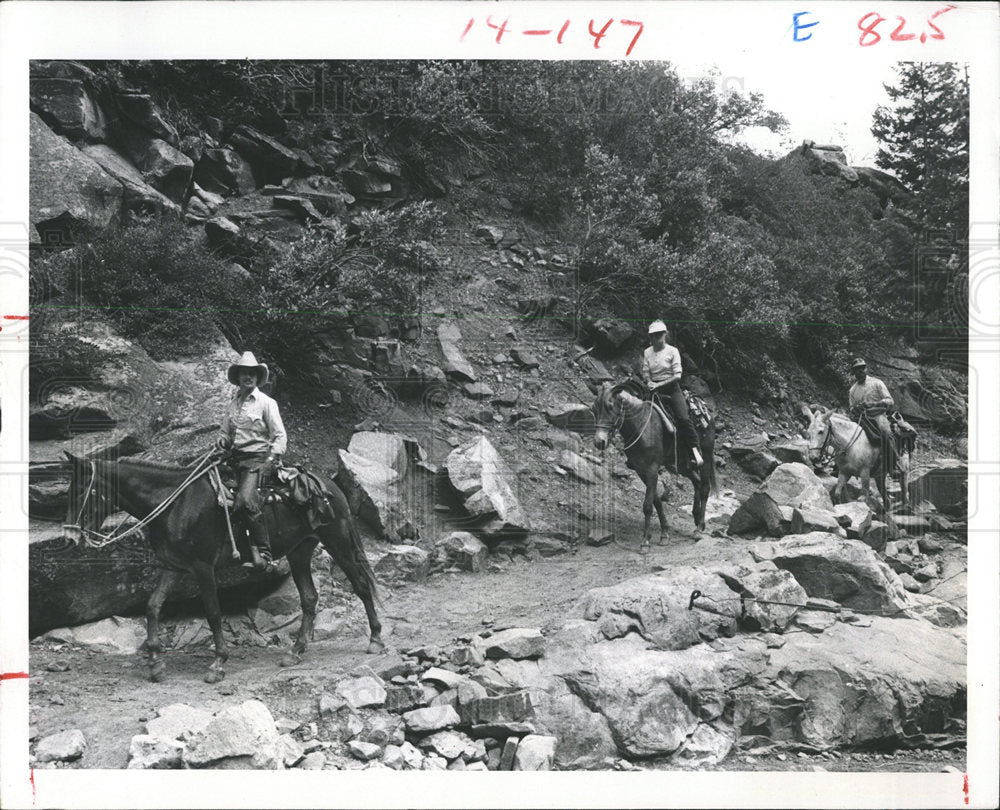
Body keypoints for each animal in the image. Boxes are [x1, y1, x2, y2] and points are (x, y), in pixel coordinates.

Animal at [62, 454, 382, 680]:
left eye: (82, 490)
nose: (69, 537)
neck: (175, 504)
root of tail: (331, 486)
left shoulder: (203, 567)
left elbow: (213, 612)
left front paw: (218, 662)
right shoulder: (173, 566)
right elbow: (152, 606)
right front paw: (155, 662)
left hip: (338, 542)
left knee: (361, 585)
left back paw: (376, 639)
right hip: (299, 552)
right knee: (309, 597)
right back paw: (295, 651)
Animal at [588, 380, 716, 548]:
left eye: (610, 407)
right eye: (594, 409)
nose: (599, 442)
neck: (641, 426)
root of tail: (705, 411)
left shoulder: (652, 469)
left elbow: (648, 506)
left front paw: (645, 542)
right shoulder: (641, 470)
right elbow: (656, 501)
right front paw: (664, 533)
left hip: (705, 457)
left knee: (705, 488)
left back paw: (699, 527)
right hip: (681, 464)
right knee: (697, 481)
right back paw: (696, 517)